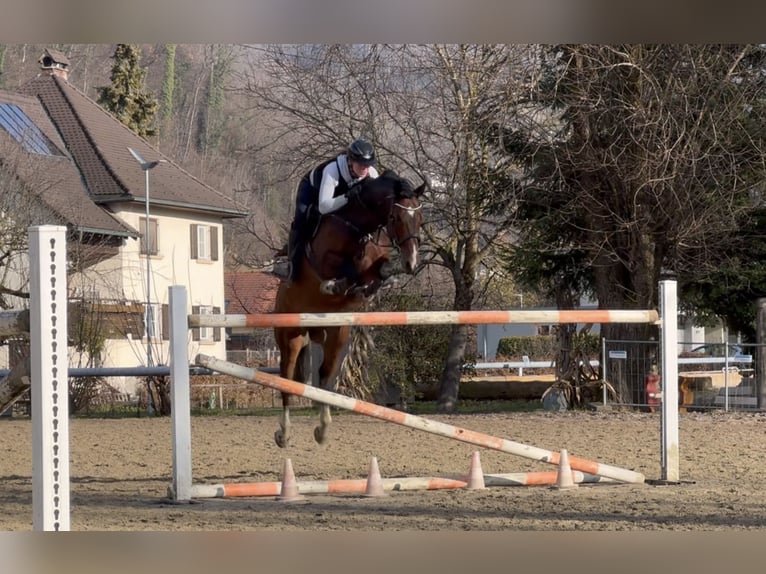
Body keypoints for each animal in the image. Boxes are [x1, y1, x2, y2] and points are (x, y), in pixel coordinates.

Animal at [273, 169, 426, 448]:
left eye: (419, 218)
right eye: (395, 217)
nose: (411, 262)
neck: (358, 227)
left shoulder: (375, 261)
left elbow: (380, 270)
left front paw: (377, 285)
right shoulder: (324, 259)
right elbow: (347, 270)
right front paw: (336, 285)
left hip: (336, 334)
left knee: (324, 375)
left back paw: (323, 430)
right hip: (290, 335)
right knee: (287, 378)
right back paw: (284, 433)